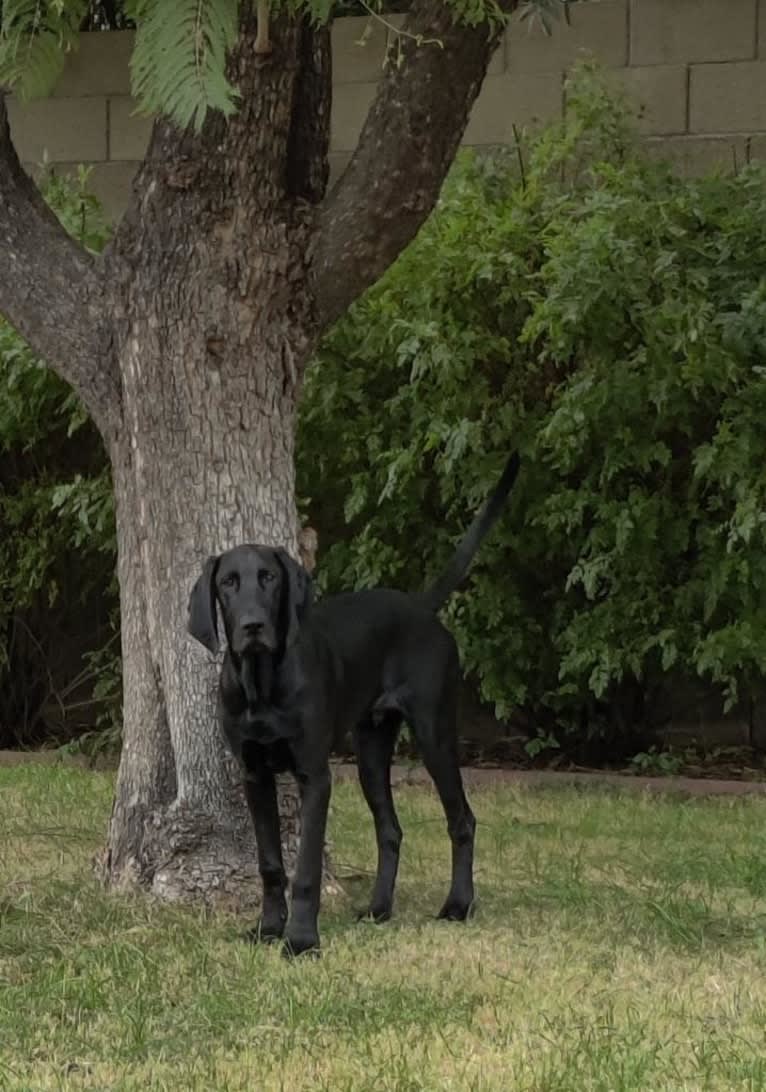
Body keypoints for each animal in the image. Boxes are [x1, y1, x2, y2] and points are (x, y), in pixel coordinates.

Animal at [186, 452, 520, 956]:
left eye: (269, 578)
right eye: (227, 582)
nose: (252, 626)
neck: (262, 684)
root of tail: (421, 608)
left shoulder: (315, 776)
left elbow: (305, 869)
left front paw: (301, 939)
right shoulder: (254, 775)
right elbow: (270, 864)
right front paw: (268, 928)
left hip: (435, 733)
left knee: (462, 820)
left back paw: (458, 905)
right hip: (370, 751)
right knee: (390, 829)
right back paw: (380, 908)